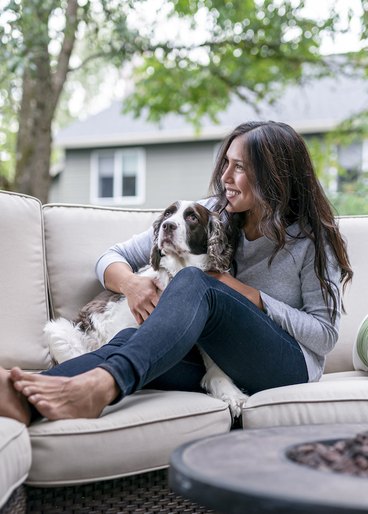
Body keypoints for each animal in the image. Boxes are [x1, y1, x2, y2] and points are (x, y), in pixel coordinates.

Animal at [44, 200, 249, 416]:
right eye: (167, 213)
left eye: (192, 217)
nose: (167, 226)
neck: (179, 271)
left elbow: (216, 368)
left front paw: (233, 395)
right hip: (58, 330)